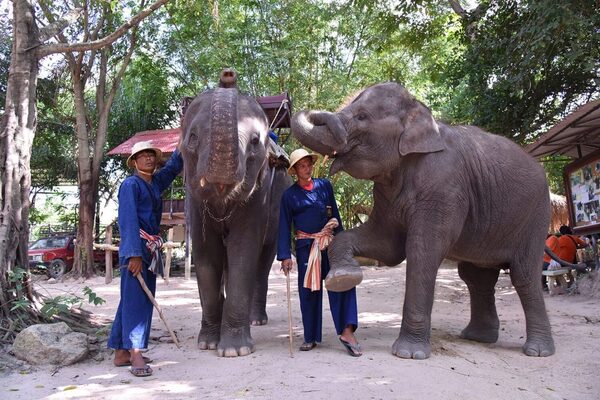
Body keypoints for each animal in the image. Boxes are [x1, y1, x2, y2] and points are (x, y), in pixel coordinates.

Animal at [292, 81, 556, 360]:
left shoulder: (443, 187)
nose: (316, 112)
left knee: (524, 275)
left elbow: (421, 251)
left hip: (536, 215)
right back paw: (477, 338)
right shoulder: (387, 193)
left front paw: (408, 354)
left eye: (362, 116)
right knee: (476, 277)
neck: (422, 115)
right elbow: (388, 246)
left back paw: (537, 351)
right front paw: (343, 278)